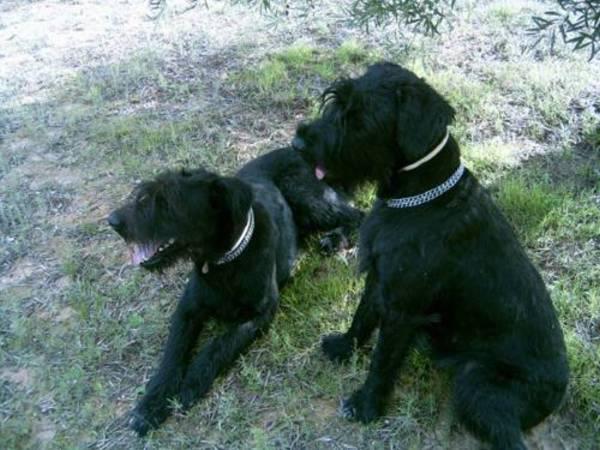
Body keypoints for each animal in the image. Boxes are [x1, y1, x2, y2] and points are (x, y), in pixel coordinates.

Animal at [106, 148, 360, 436]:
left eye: (167, 203)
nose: (113, 221)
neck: (223, 261)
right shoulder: (188, 309)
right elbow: (172, 354)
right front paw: (151, 404)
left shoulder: (258, 314)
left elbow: (218, 346)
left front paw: (189, 386)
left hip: (308, 197)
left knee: (358, 215)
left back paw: (336, 238)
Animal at [292, 63, 568, 450]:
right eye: (335, 102)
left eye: (360, 118)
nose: (298, 144)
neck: (420, 196)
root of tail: (558, 395)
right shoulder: (379, 280)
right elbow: (362, 317)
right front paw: (344, 347)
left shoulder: (402, 310)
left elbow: (383, 360)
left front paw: (366, 405)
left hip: (476, 383)